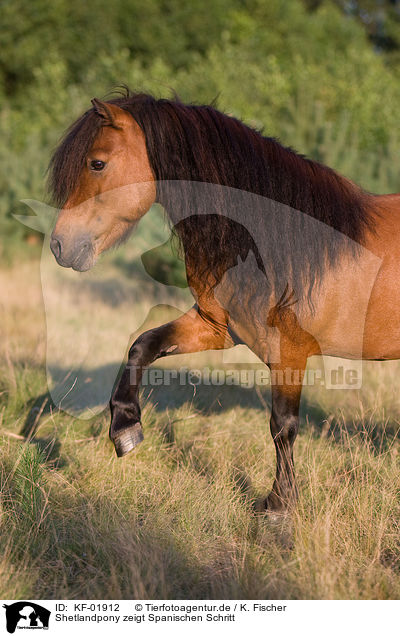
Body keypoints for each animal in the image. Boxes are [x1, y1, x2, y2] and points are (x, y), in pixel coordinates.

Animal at [49, 89, 400, 512]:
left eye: (97, 163)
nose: (60, 245)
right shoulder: (217, 327)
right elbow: (142, 346)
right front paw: (125, 428)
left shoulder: (290, 350)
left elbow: (282, 426)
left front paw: (278, 506)